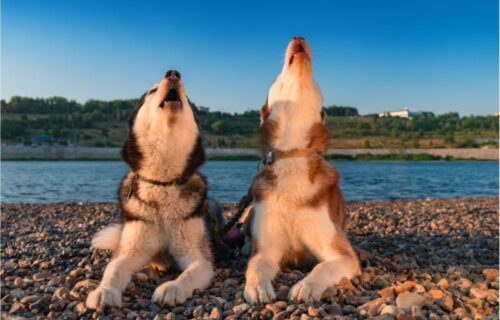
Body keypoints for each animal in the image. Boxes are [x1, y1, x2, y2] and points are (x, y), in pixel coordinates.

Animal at [86, 70, 219, 310]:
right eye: (152, 90)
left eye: (187, 98)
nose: (173, 73)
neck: (163, 183)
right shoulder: (131, 249)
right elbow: (113, 268)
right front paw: (104, 290)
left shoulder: (200, 258)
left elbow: (189, 274)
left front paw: (172, 288)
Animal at [242, 37, 360, 302]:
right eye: (277, 78)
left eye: (316, 82)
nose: (299, 37)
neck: (292, 152)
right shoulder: (266, 250)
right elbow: (255, 265)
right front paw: (257, 286)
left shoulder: (343, 254)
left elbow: (323, 266)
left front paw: (307, 285)